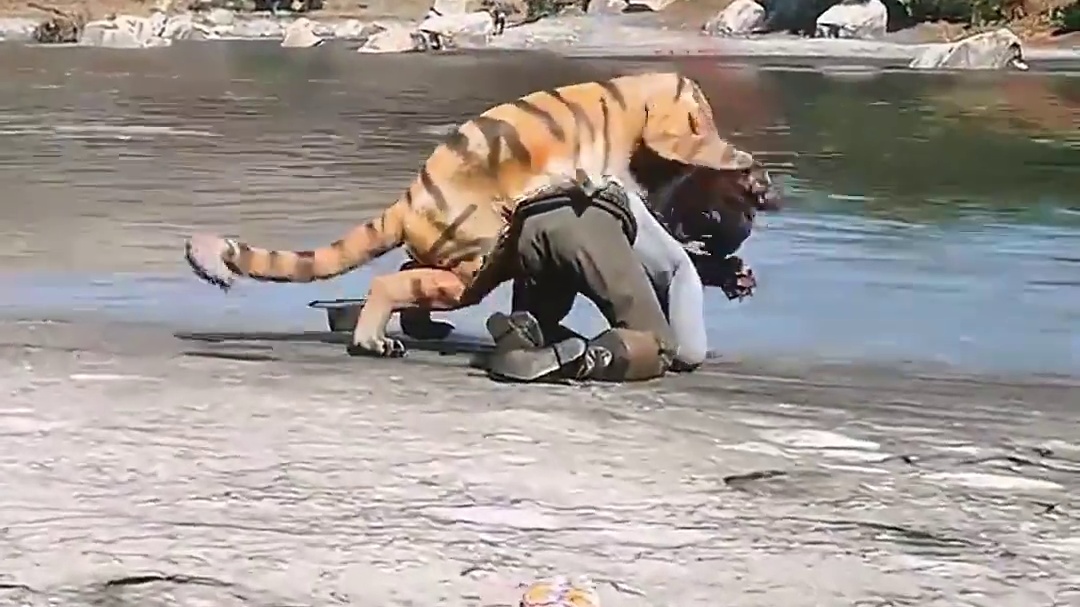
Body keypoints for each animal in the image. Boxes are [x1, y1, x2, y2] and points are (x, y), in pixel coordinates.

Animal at [184, 71, 773, 359]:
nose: (761, 195)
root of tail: (405, 200)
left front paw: (733, 273)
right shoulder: (669, 136)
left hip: (463, 256)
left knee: (407, 274)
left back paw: (421, 329)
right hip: (474, 260)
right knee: (388, 282)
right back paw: (375, 340)